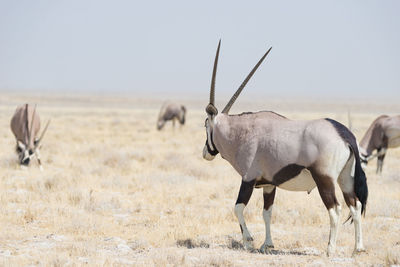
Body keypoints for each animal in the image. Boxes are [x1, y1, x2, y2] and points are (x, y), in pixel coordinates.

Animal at [203, 41, 368, 258]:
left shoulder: (248, 179)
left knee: (335, 209)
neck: (241, 131)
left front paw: (248, 241)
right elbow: (267, 213)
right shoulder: (269, 184)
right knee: (355, 205)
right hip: (345, 179)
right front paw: (267, 245)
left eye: (205, 124)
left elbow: (238, 208)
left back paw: (330, 249)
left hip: (324, 180)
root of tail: (344, 134)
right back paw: (358, 248)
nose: (206, 152)